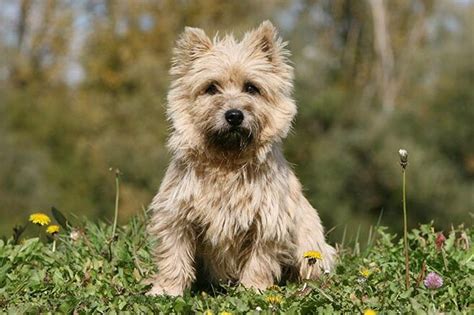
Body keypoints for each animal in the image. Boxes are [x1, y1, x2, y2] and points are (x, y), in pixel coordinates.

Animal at [146, 21, 336, 298]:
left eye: (251, 88)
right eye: (211, 88)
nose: (234, 115)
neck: (227, 161)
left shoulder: (268, 222)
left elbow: (259, 260)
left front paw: (253, 289)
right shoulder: (177, 216)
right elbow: (174, 255)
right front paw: (166, 290)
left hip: (310, 246)